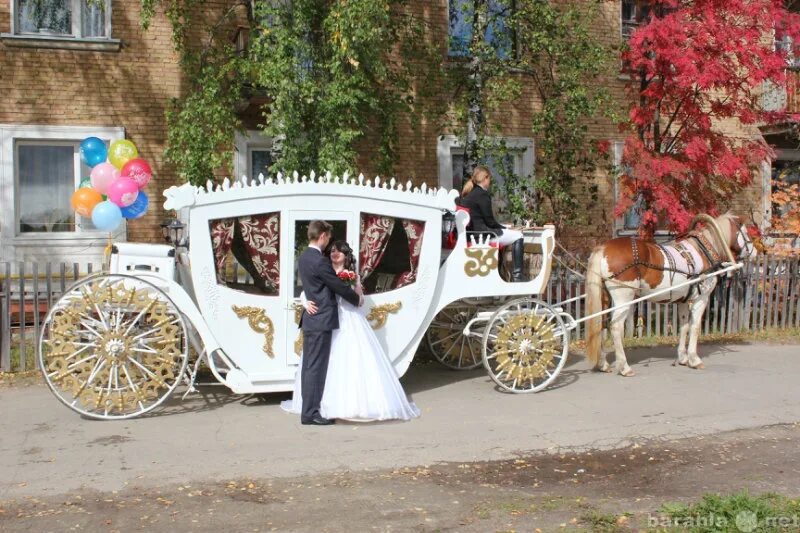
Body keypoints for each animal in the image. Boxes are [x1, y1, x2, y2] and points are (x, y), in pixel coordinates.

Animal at [584, 210, 752, 376]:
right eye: (745, 232)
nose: (754, 251)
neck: (703, 250)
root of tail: (604, 248)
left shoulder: (684, 301)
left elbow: (684, 326)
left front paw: (683, 357)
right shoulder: (701, 298)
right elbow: (695, 327)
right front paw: (694, 359)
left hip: (605, 298)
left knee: (601, 325)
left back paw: (603, 364)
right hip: (624, 298)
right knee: (616, 327)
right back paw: (625, 367)